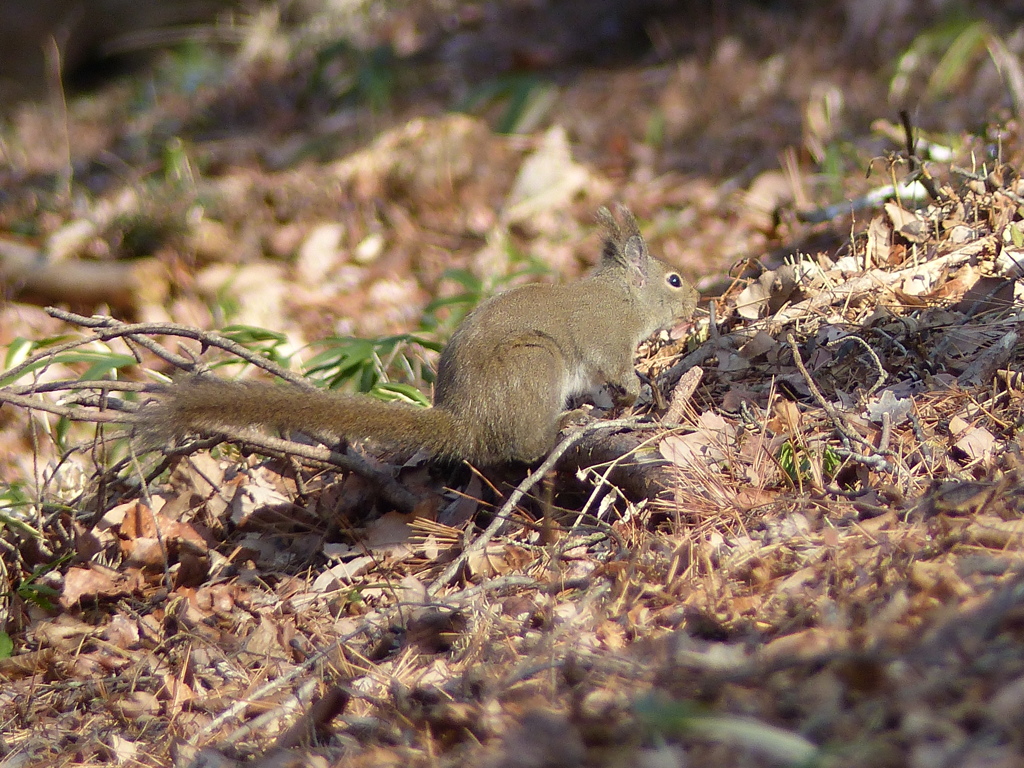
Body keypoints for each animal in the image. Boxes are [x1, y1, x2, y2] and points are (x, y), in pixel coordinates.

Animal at [138, 207, 696, 466]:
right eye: (674, 280)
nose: (695, 302)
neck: (624, 297)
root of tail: (468, 422)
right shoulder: (608, 339)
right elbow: (618, 370)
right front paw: (638, 388)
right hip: (535, 362)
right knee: (524, 446)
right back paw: (565, 423)